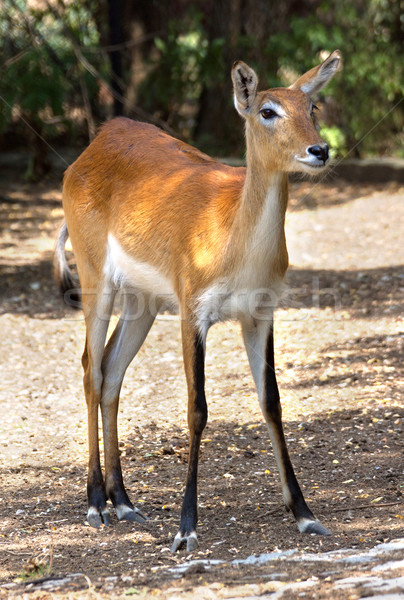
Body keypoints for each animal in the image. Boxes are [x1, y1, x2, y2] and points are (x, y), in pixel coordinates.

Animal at [54, 51, 340, 552]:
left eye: (313, 107)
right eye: (268, 110)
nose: (319, 151)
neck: (233, 243)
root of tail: (94, 144)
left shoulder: (260, 313)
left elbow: (272, 402)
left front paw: (306, 515)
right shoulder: (194, 311)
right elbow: (197, 409)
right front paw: (186, 528)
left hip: (143, 302)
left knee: (111, 370)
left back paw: (124, 502)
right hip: (95, 278)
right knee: (91, 367)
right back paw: (94, 505)